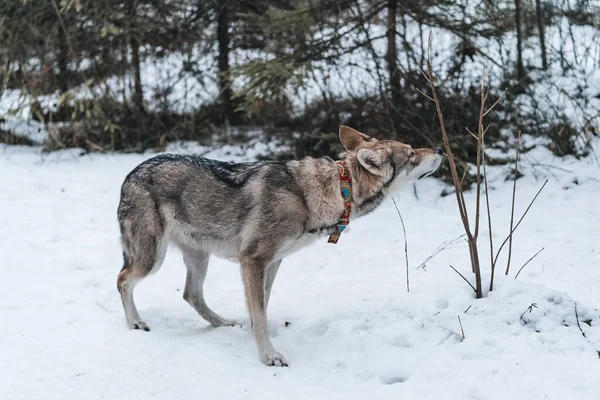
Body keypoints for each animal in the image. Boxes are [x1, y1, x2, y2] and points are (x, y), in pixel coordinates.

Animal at [118, 125, 446, 366]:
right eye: (412, 153)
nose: (442, 149)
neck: (335, 190)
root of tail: (131, 172)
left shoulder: (272, 263)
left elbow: (259, 309)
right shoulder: (253, 261)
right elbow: (260, 313)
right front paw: (269, 357)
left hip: (199, 258)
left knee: (191, 294)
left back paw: (221, 322)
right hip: (152, 258)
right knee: (123, 280)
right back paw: (135, 323)